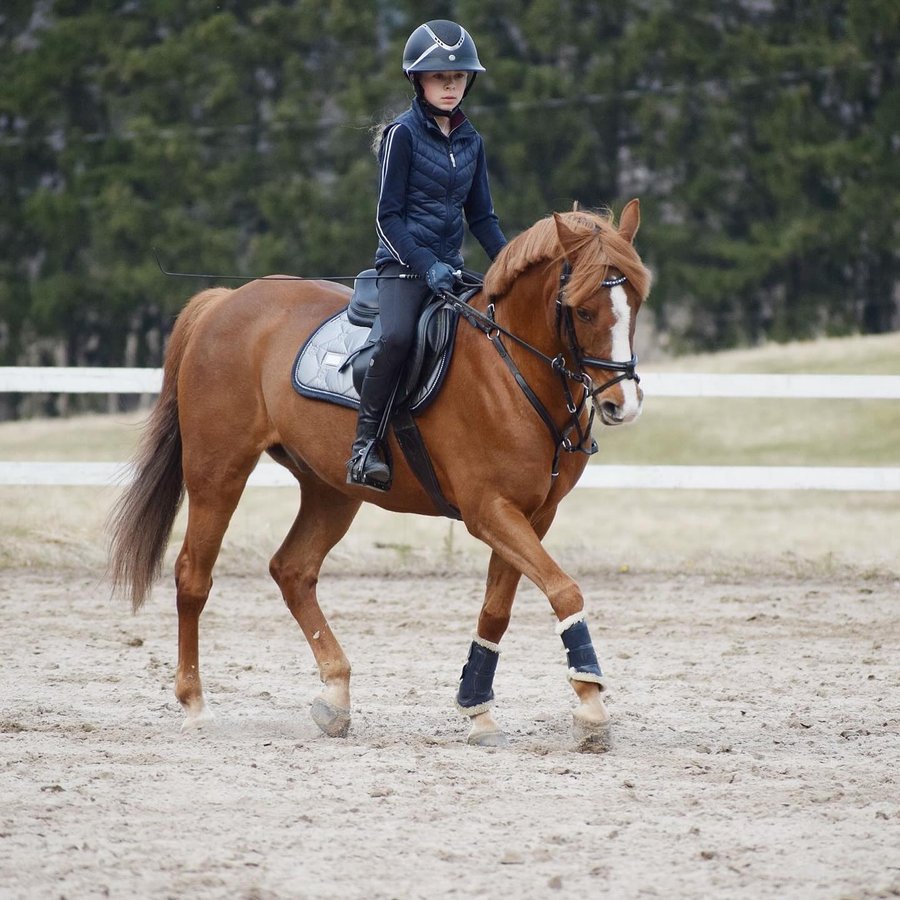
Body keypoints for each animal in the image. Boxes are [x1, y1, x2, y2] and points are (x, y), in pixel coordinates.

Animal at [108, 201, 651, 748]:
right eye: (582, 310)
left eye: (636, 304)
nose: (620, 405)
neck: (511, 368)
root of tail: (226, 300)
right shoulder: (490, 510)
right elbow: (564, 590)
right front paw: (591, 705)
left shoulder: (534, 514)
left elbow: (497, 611)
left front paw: (477, 708)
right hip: (219, 472)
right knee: (193, 576)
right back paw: (195, 705)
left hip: (331, 490)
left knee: (293, 570)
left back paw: (335, 695)